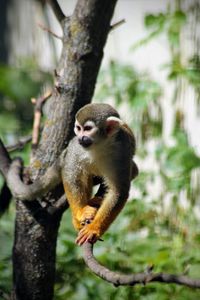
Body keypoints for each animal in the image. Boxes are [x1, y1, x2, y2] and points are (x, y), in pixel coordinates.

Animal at [5, 104, 138, 245]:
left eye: (88, 129)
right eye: (78, 128)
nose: (80, 138)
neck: (99, 145)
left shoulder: (122, 150)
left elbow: (119, 192)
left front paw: (94, 228)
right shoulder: (76, 148)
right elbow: (71, 175)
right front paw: (80, 213)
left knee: (132, 170)